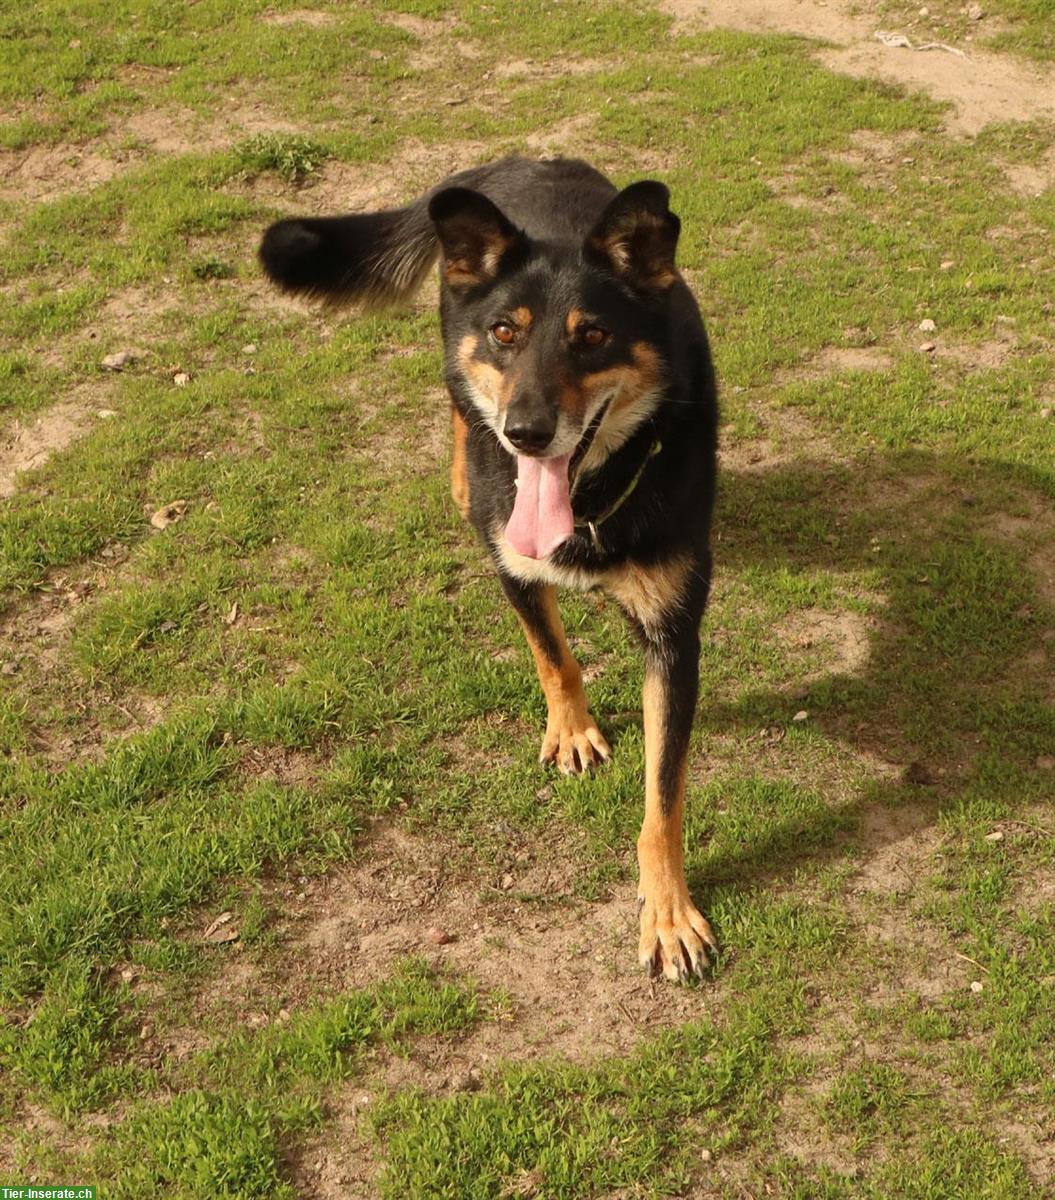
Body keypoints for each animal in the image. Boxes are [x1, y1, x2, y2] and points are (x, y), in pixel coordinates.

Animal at [260, 157, 720, 984]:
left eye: (592, 336)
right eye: (506, 333)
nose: (526, 434)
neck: (590, 496)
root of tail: (513, 161)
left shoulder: (673, 635)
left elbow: (661, 801)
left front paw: (667, 915)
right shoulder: (511, 566)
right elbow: (553, 656)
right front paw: (571, 731)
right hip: (452, 355)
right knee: (455, 403)